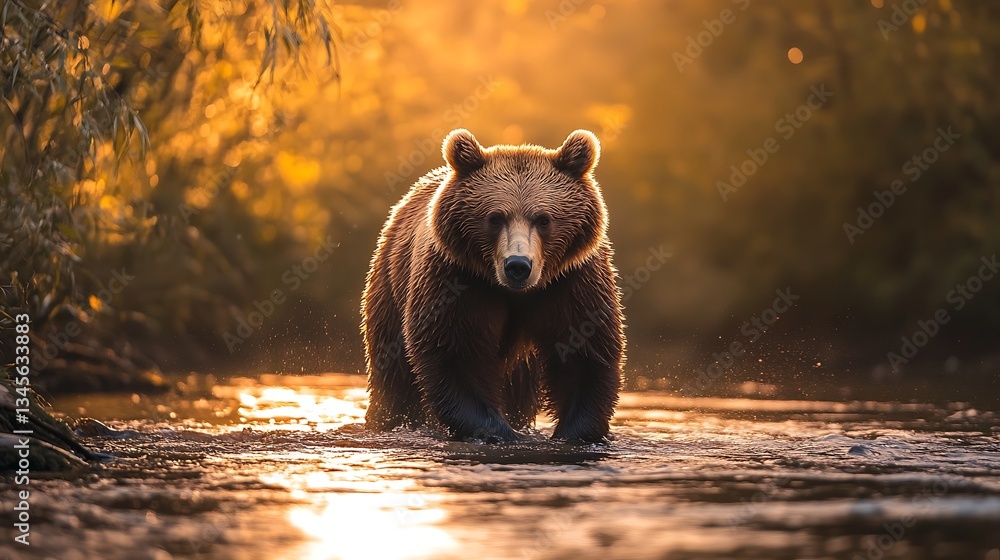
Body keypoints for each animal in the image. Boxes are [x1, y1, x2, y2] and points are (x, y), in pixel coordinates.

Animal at [361, 129, 625, 443]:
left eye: (544, 219)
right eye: (495, 217)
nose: (518, 265)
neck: (513, 293)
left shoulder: (571, 283)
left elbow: (585, 353)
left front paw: (573, 432)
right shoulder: (457, 281)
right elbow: (454, 353)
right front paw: (501, 433)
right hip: (389, 286)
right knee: (393, 374)